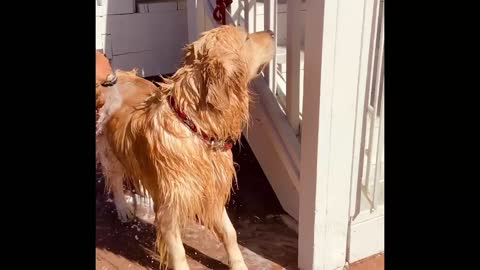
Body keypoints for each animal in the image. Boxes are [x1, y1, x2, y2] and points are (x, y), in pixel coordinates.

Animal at [96, 25, 276, 270]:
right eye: (247, 38)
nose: (273, 32)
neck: (195, 127)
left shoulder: (212, 188)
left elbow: (230, 233)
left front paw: (239, 264)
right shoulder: (170, 208)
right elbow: (179, 252)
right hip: (110, 153)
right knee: (114, 181)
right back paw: (123, 209)